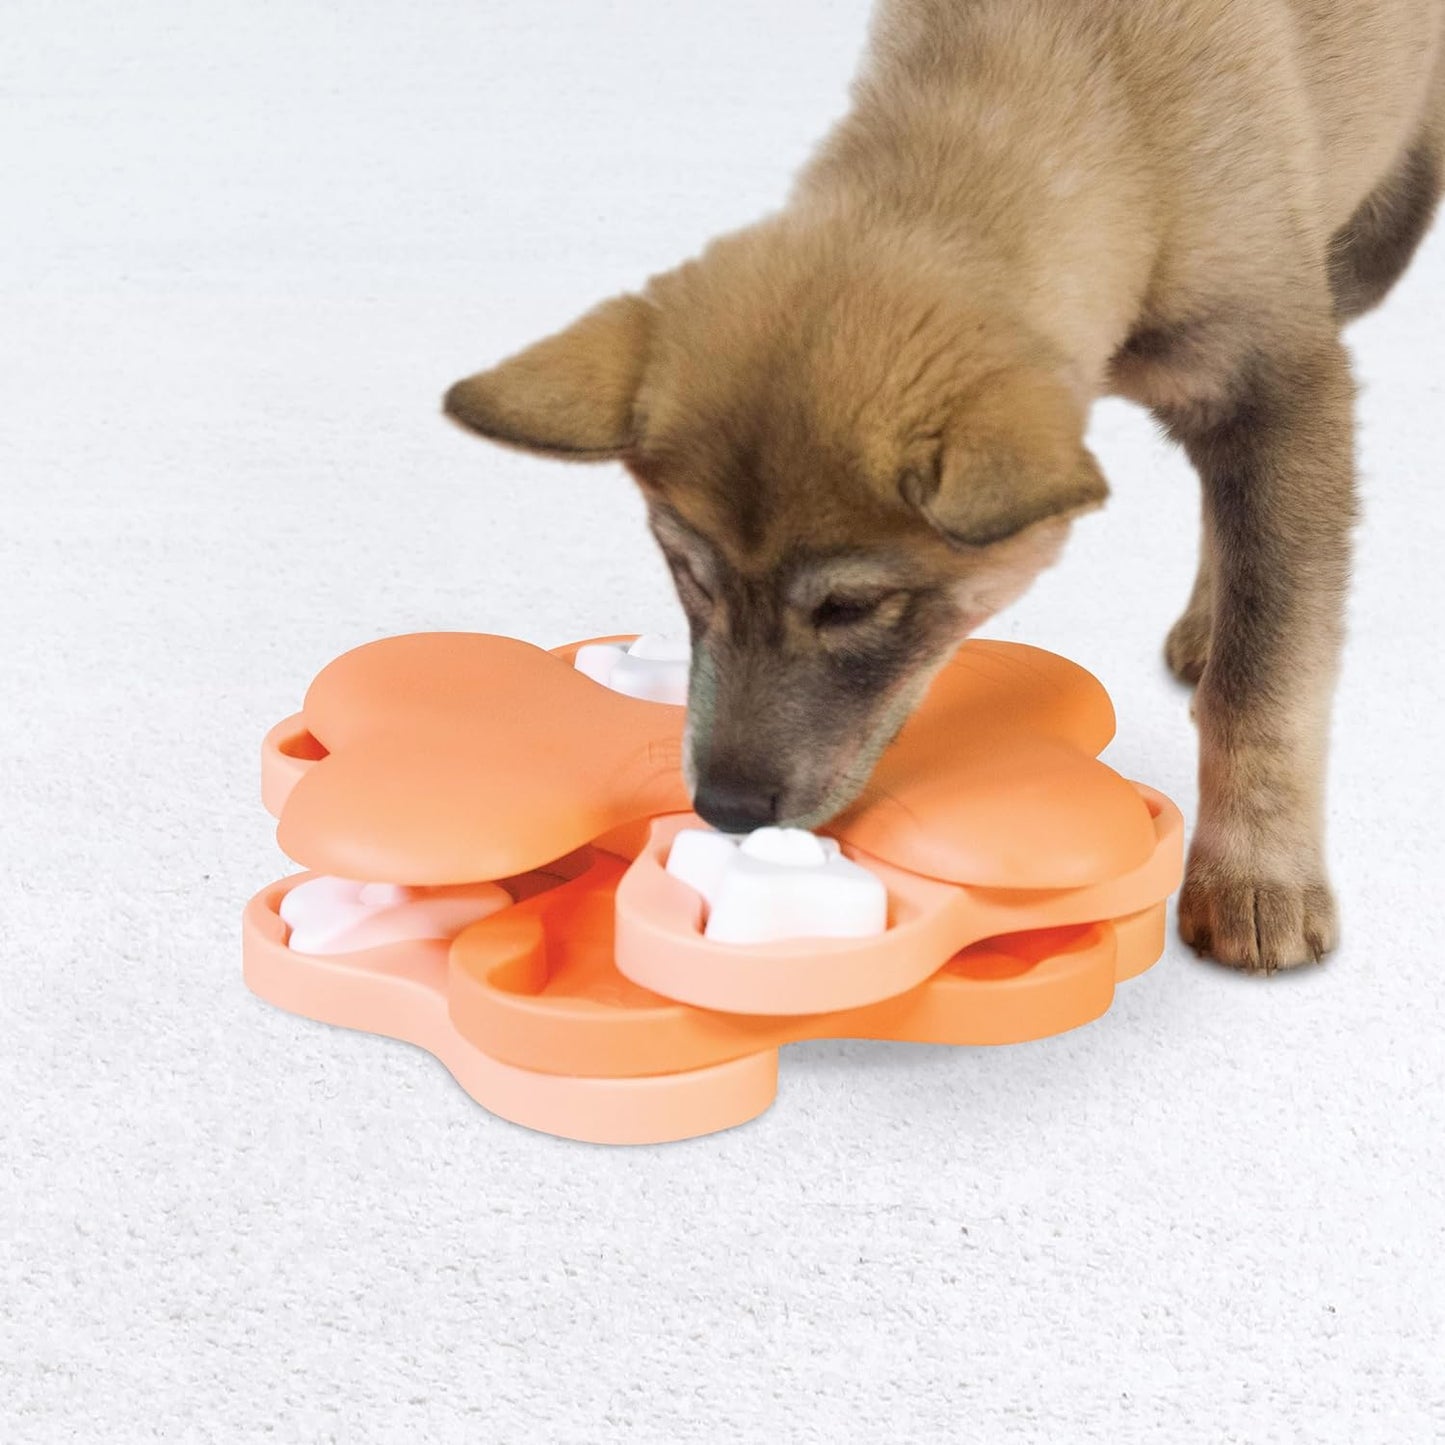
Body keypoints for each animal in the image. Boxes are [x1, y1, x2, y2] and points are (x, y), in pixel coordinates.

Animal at [445, 2, 1439, 971]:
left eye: (850, 607)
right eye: (689, 575)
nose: (724, 810)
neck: (1089, 83)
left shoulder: (1283, 386)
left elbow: (1267, 665)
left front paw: (1256, 874)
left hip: (1373, 235)